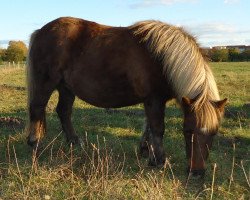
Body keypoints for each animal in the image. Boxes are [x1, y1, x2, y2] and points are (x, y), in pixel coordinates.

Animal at [26, 17, 228, 177]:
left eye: (214, 133)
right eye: (187, 131)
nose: (197, 172)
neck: (163, 59)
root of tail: (41, 31)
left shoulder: (151, 101)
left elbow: (149, 128)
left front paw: (147, 152)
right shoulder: (155, 100)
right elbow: (157, 129)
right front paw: (160, 160)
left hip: (66, 88)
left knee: (64, 111)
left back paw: (75, 143)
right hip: (46, 83)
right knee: (37, 109)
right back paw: (35, 145)